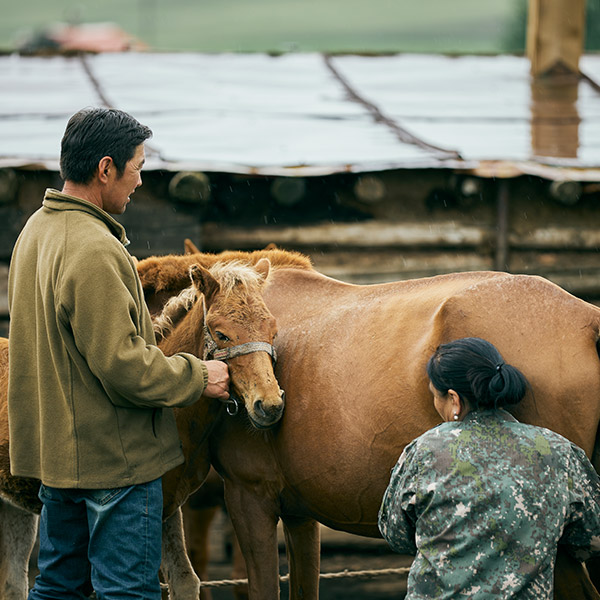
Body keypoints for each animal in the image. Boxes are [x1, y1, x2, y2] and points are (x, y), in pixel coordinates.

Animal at [138, 248, 600, 600]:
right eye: (221, 333)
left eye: (271, 329)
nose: (268, 406)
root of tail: (587, 317)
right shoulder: (300, 514)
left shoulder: (249, 499)